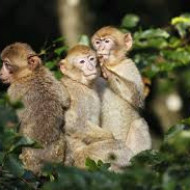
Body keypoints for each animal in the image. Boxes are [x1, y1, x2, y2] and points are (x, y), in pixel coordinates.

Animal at [0, 42, 70, 174]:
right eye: (3, 63)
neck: (30, 74)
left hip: (29, 162)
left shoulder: (13, 90)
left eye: (7, 64)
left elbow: (10, 126)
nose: (0, 72)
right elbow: (66, 101)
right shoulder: (48, 74)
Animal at [91, 26, 151, 154]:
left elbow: (137, 98)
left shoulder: (129, 65)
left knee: (139, 123)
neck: (114, 65)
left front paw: (105, 70)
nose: (101, 49)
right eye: (98, 42)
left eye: (107, 41)